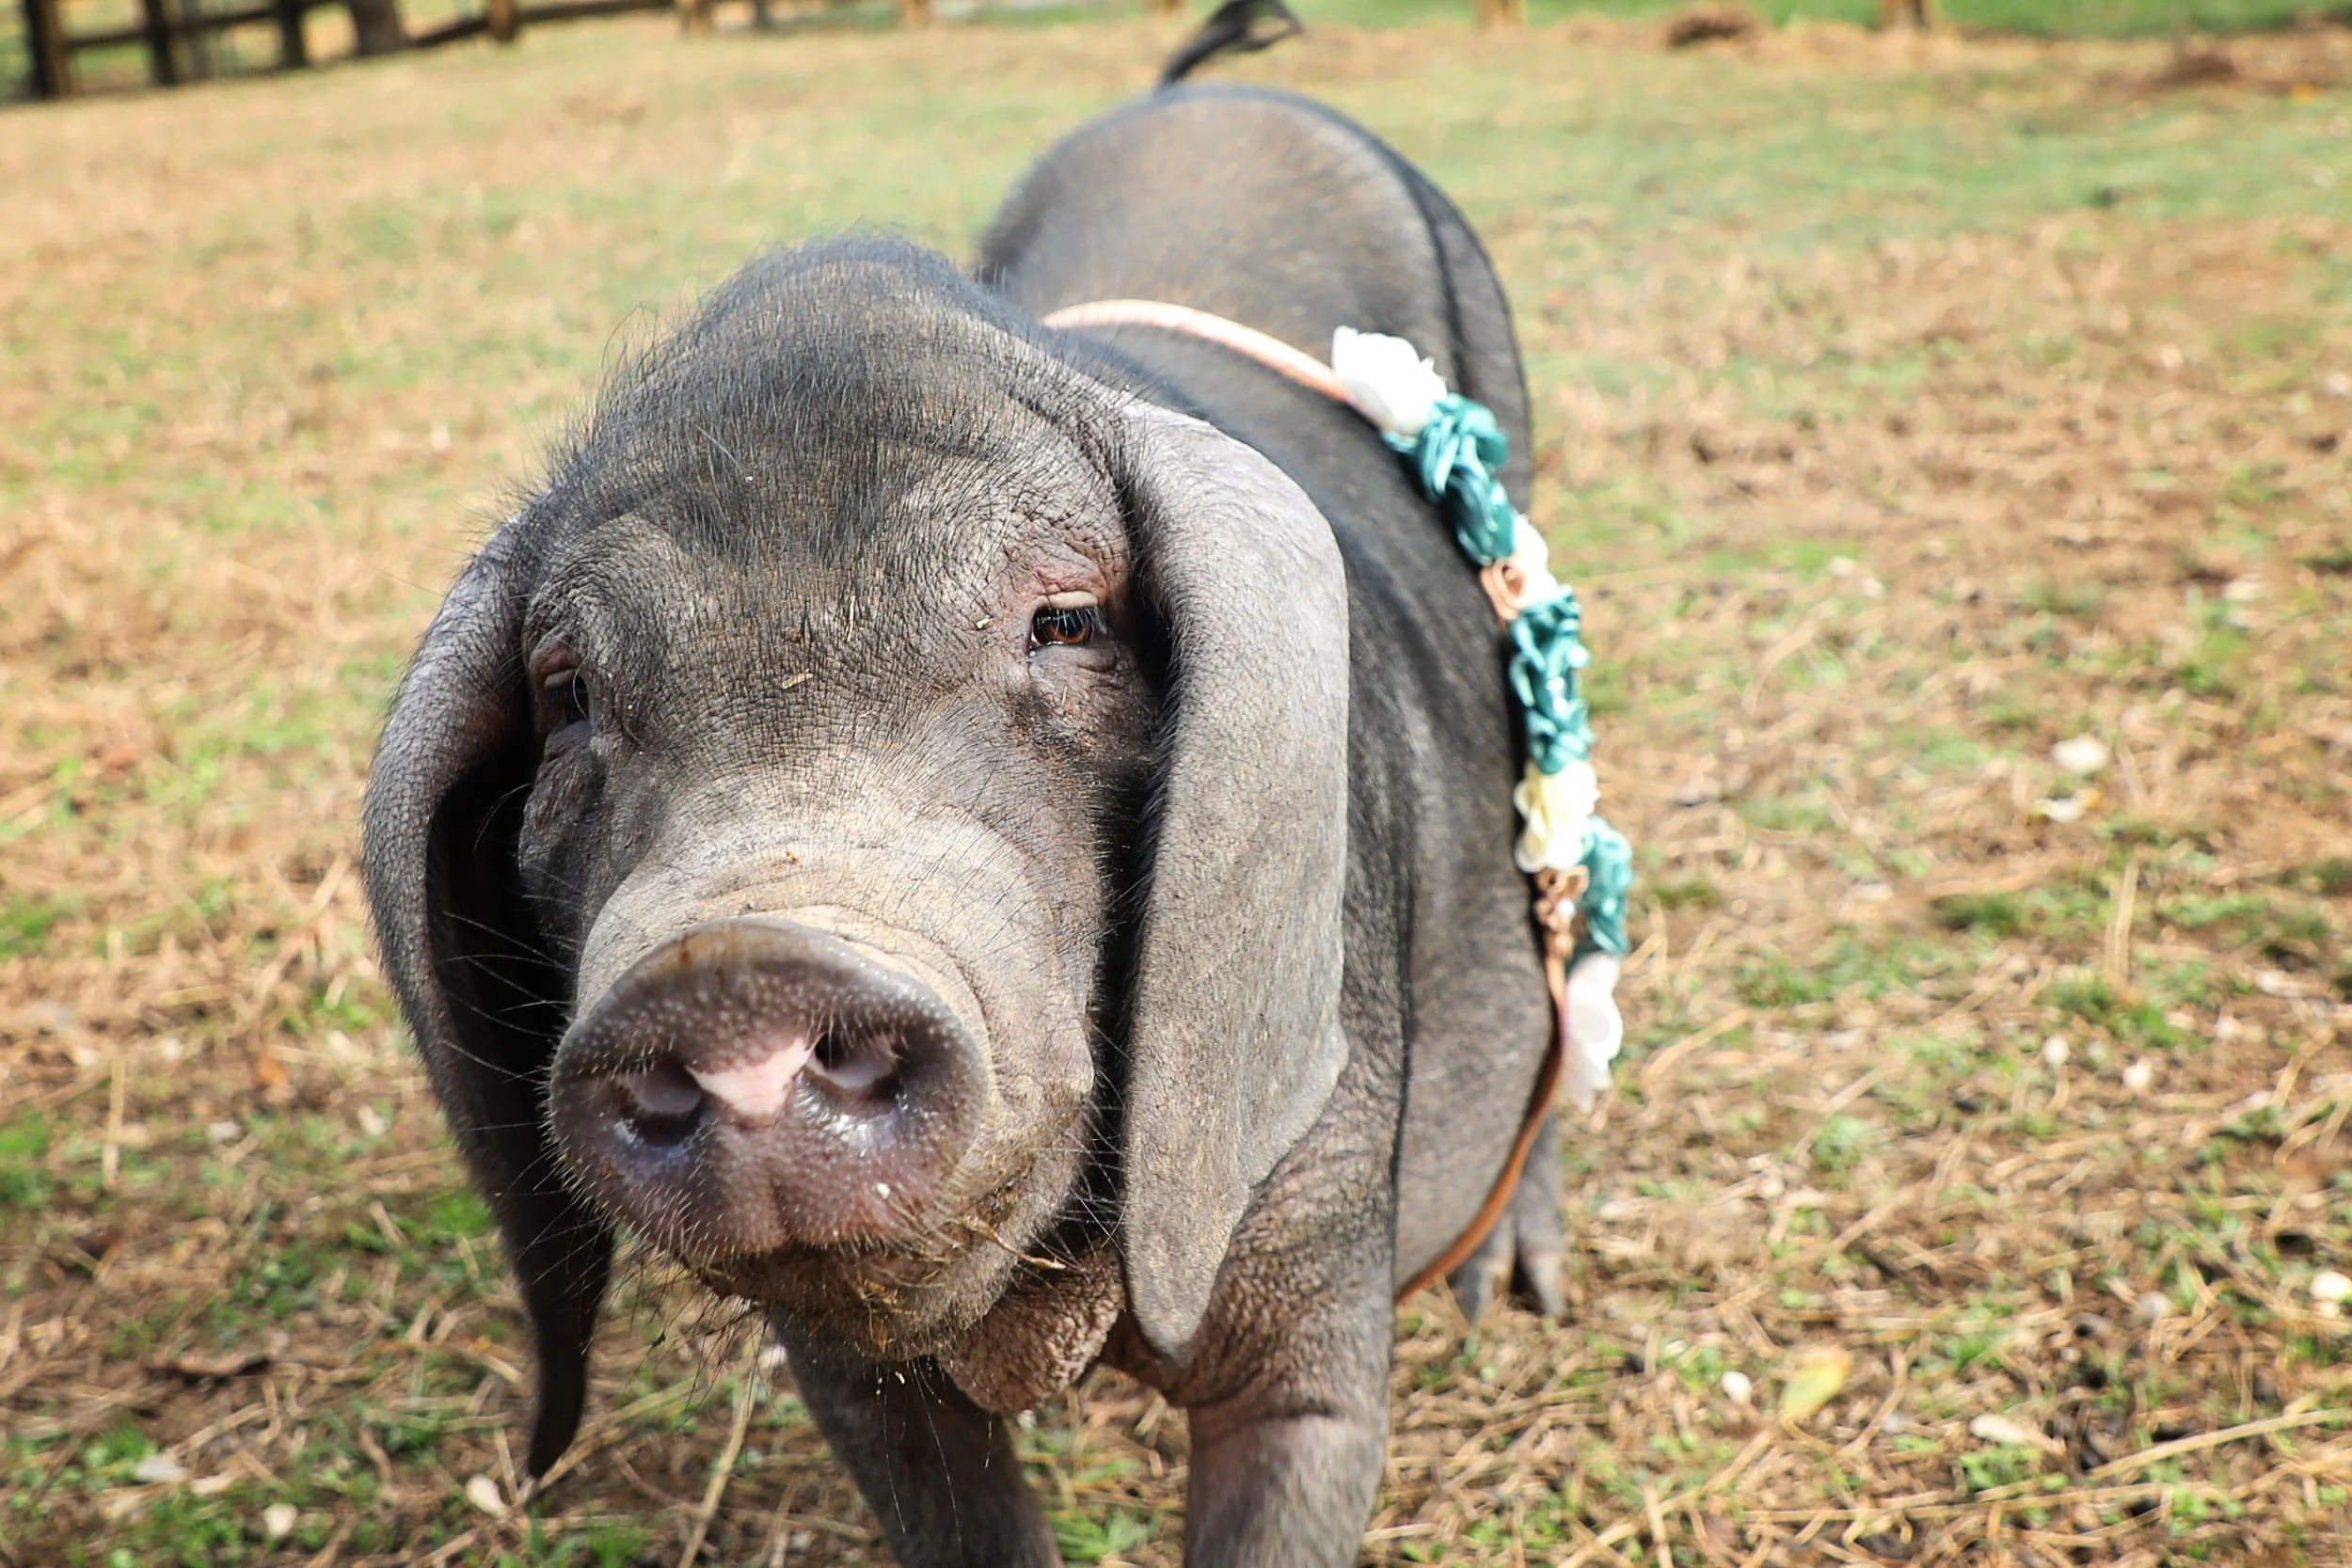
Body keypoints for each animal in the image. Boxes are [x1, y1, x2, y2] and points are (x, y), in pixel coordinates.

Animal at [363, 38, 1577, 1568]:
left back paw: (1519, 1289)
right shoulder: (849, 1377)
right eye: (569, 690)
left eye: (1066, 619)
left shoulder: (1318, 1235)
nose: (732, 964)